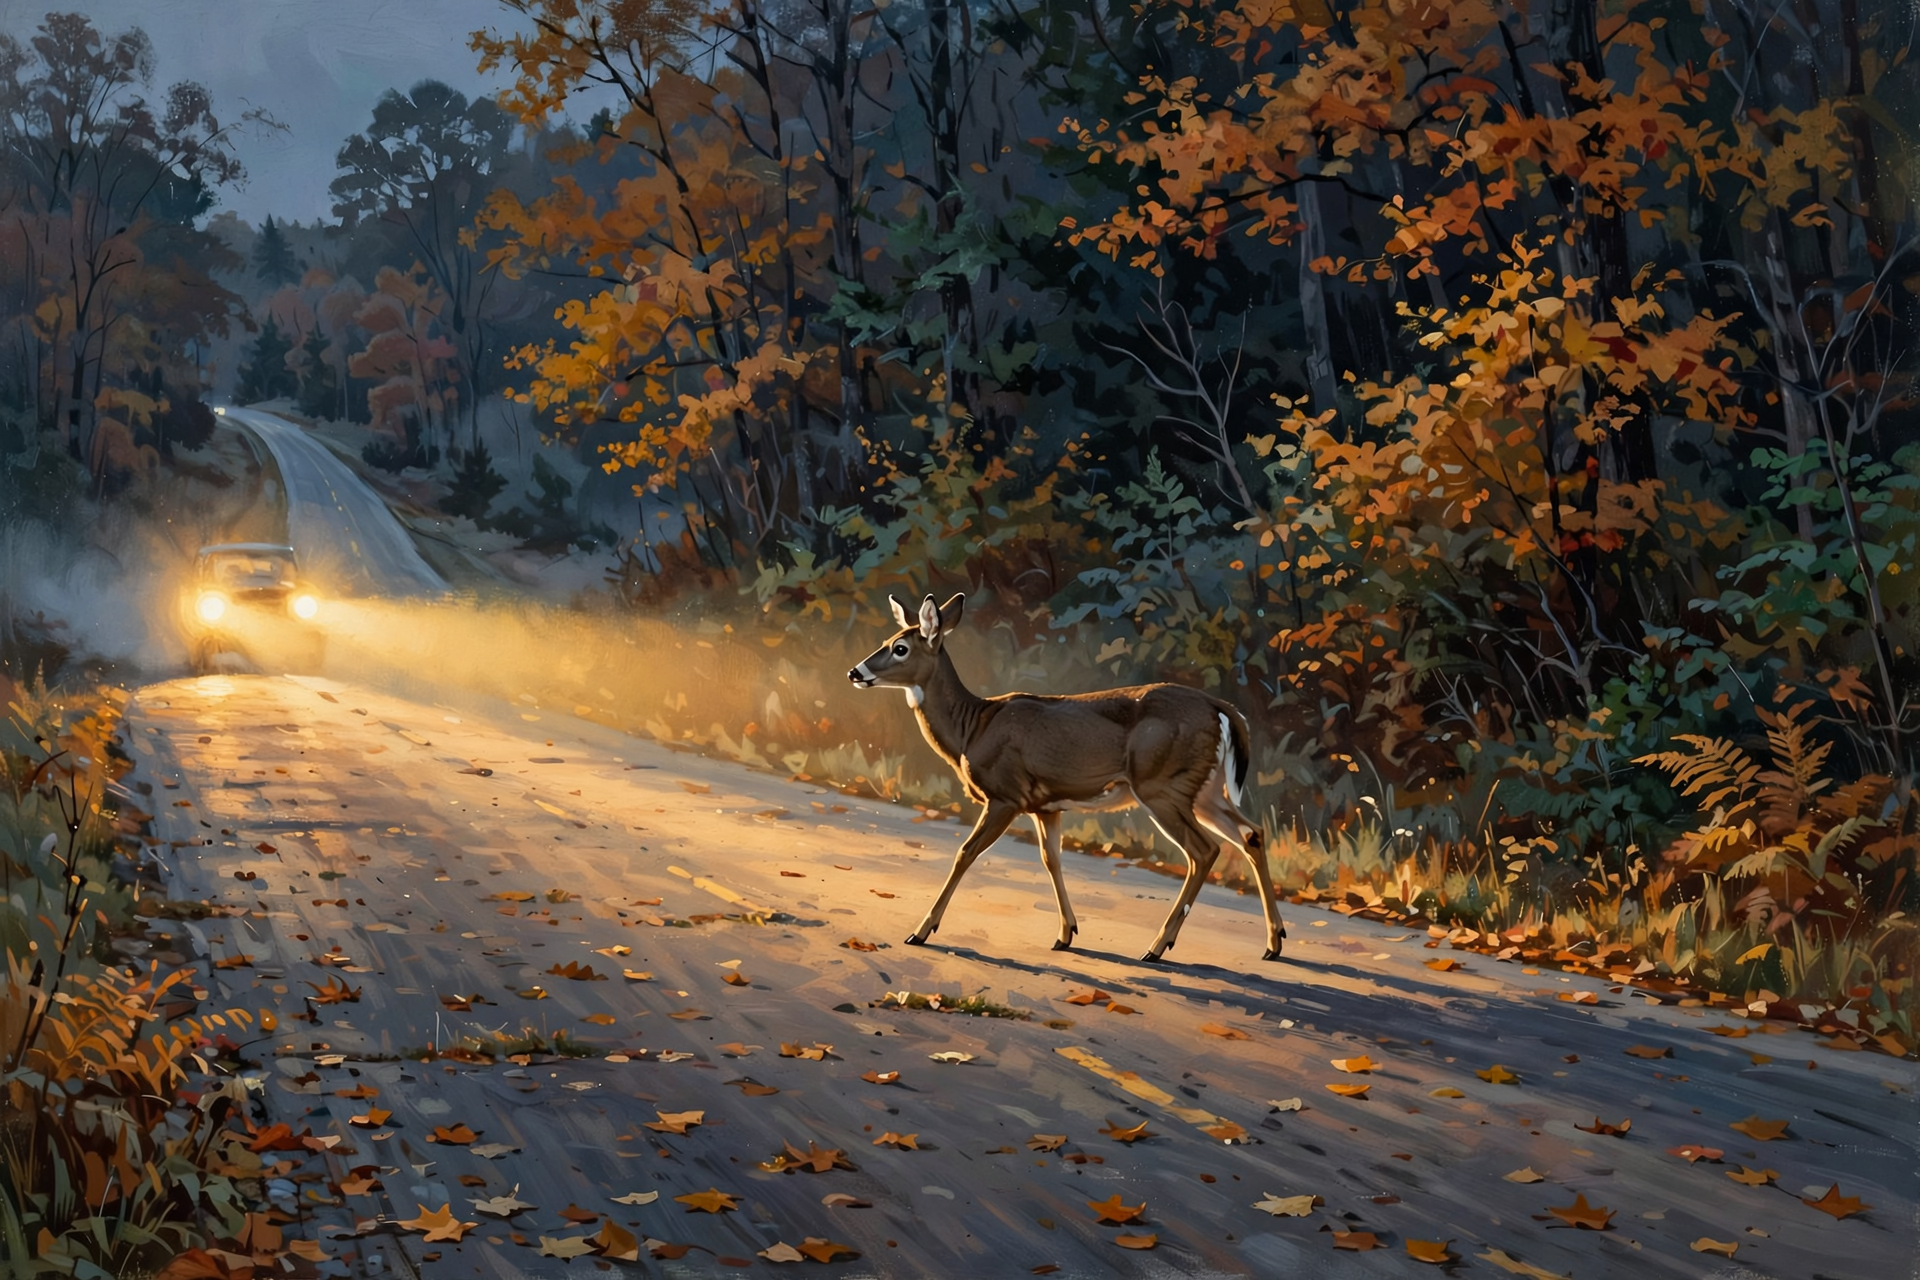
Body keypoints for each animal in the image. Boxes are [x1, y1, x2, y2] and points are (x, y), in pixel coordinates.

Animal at [847, 593, 1284, 963]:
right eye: (888, 640)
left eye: (900, 648)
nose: (855, 671)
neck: (972, 729)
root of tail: (1223, 709)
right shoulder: (1045, 805)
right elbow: (1051, 859)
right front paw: (1066, 934)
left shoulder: (1005, 794)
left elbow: (965, 853)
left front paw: (921, 930)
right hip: (1205, 788)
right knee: (1251, 833)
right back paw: (1273, 943)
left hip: (1161, 785)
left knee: (1204, 850)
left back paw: (1158, 947)